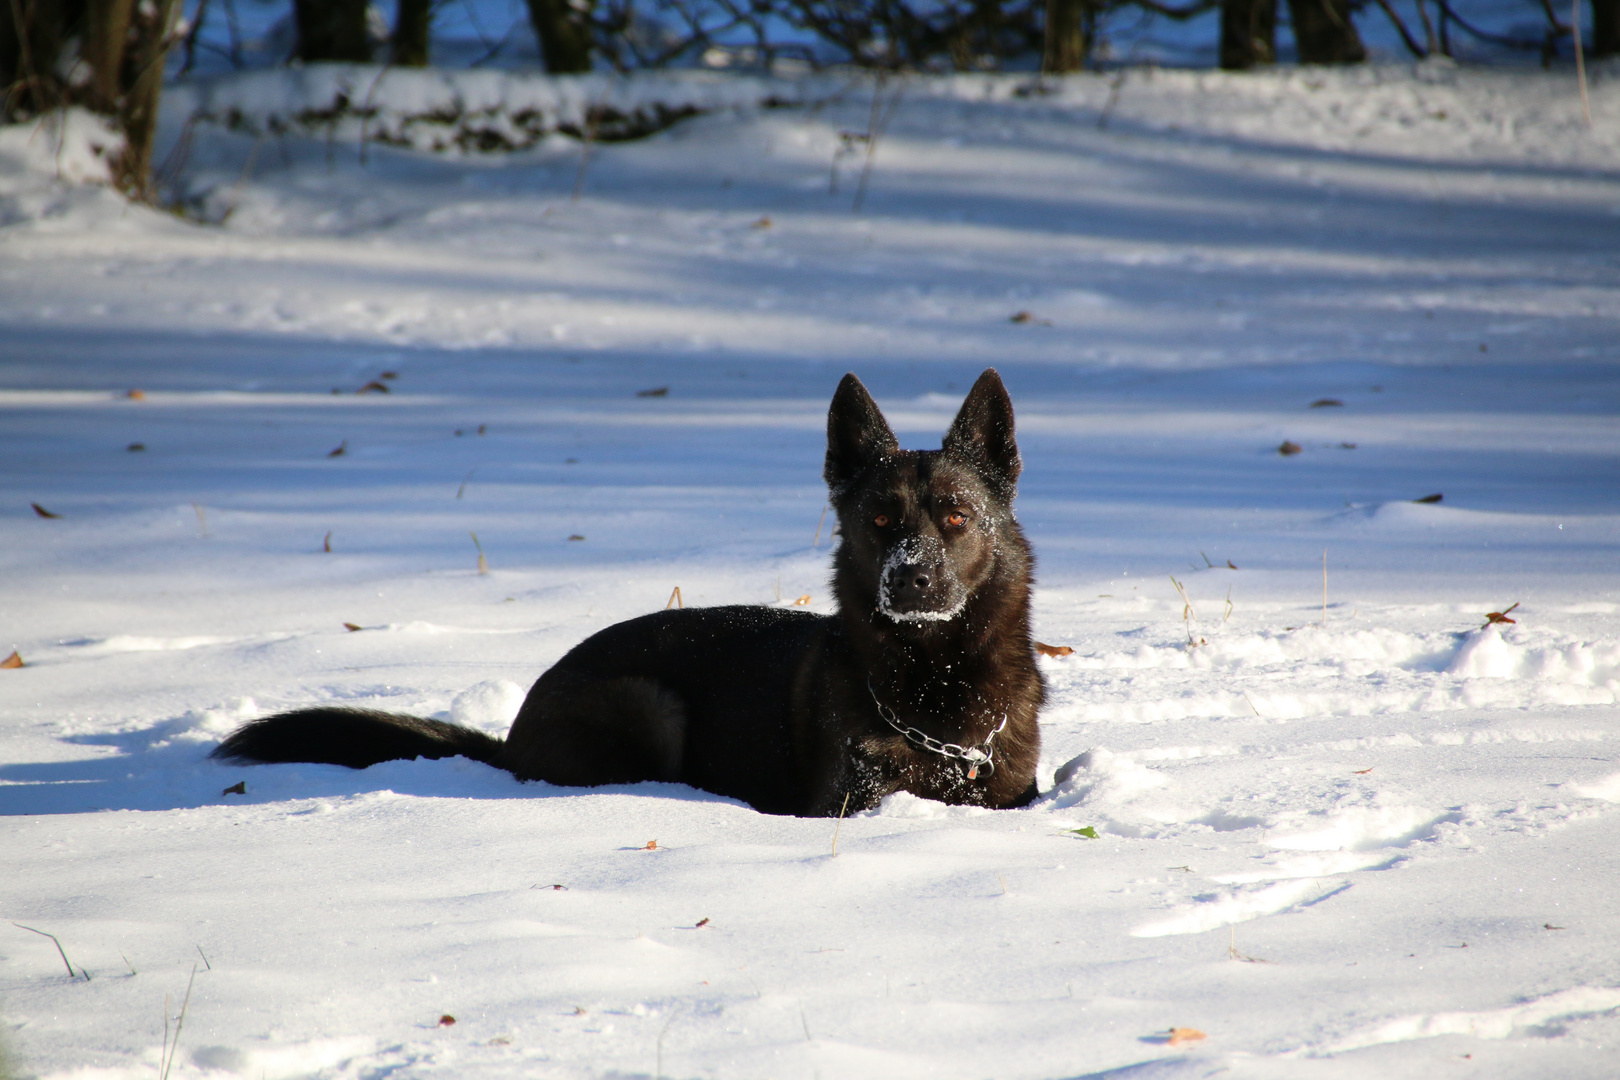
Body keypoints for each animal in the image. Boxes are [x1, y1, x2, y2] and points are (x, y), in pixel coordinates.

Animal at [208, 367, 1043, 816]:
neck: (934, 682)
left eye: (955, 515)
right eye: (879, 519)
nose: (911, 578)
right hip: (649, 703)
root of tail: (511, 734)